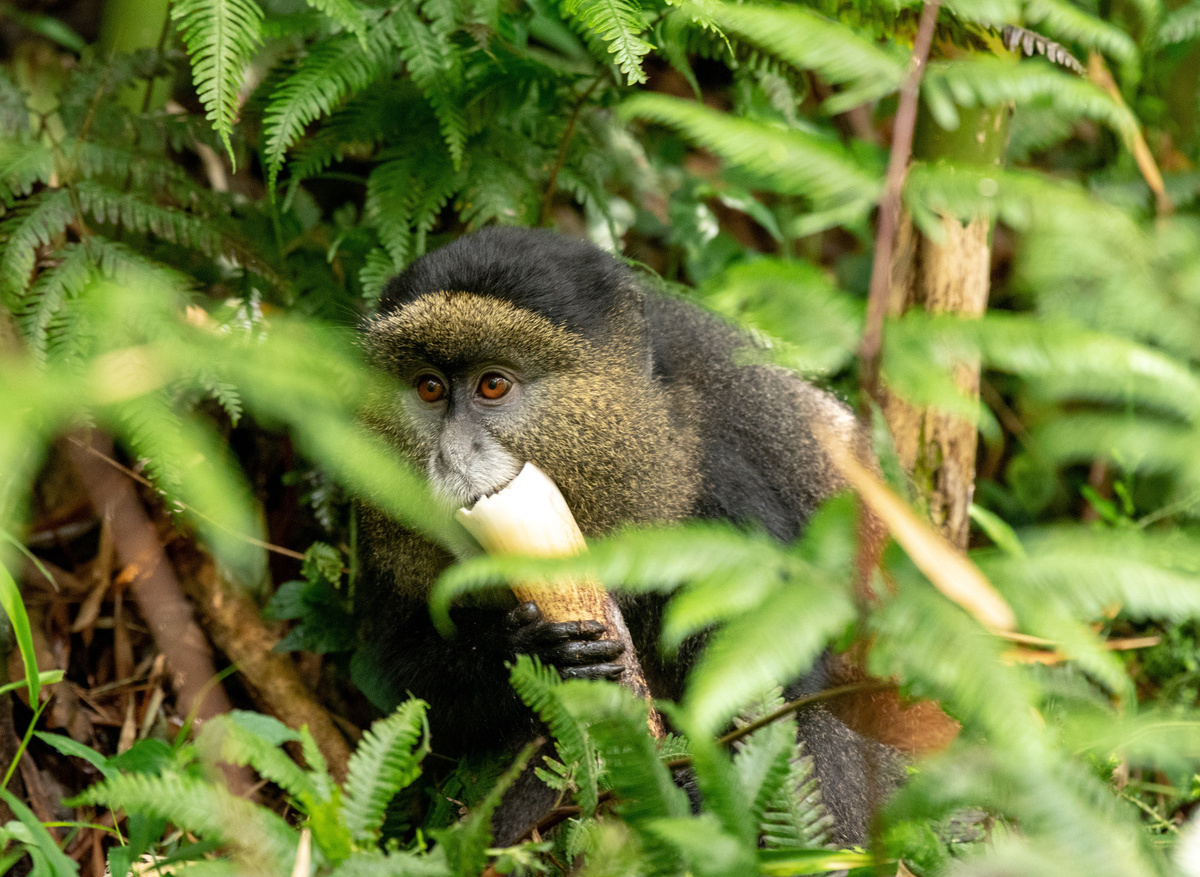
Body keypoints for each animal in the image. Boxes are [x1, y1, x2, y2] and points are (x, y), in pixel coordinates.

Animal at [356, 226, 902, 847]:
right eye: (428, 388)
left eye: (493, 385)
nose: (450, 456)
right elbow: (419, 682)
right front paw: (528, 652)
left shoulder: (722, 491)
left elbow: (776, 678)